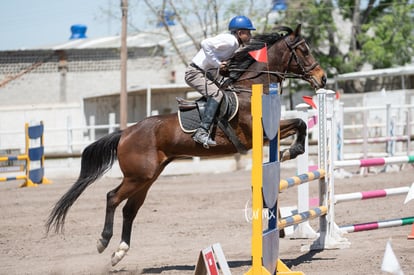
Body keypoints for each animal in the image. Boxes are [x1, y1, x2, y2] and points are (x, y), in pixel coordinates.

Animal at [46, 24, 326, 266]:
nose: (322, 79)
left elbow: (300, 123)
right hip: (138, 176)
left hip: (147, 177)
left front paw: (291, 150)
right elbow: (299, 122)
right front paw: (291, 150)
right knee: (112, 198)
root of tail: (126, 133)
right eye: (303, 50)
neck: (250, 88)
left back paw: (120, 252)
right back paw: (103, 242)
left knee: (130, 209)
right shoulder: (257, 134)